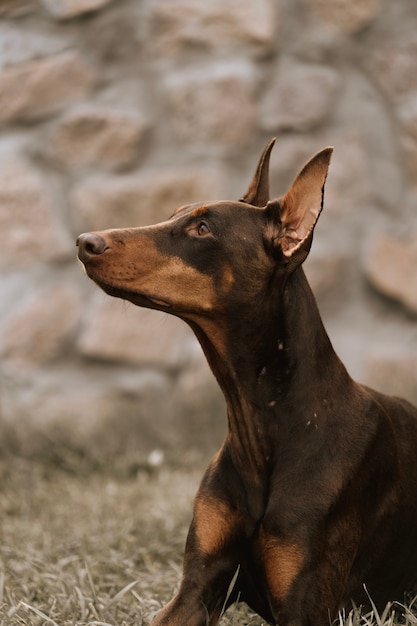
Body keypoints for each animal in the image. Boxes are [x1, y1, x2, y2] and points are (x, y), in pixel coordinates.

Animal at [76, 141, 416, 624]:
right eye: (174, 213)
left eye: (202, 228)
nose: (85, 242)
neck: (267, 423)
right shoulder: (195, 589)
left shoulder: (305, 604)